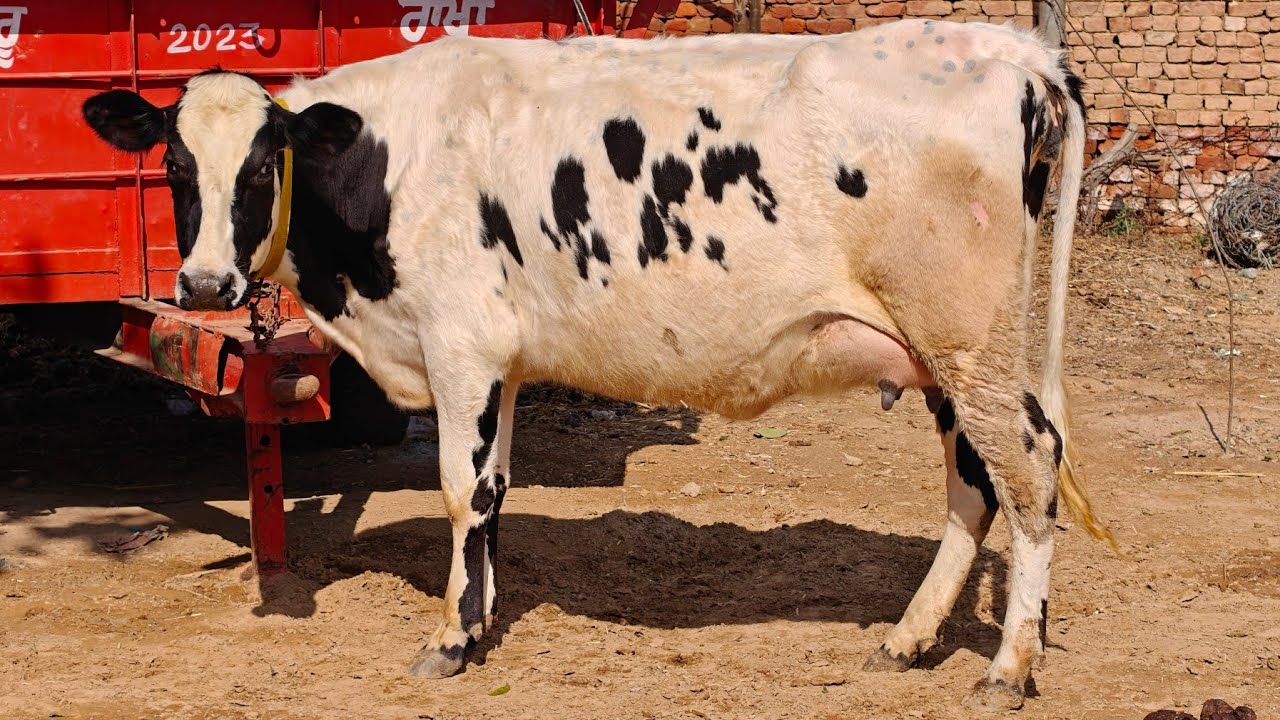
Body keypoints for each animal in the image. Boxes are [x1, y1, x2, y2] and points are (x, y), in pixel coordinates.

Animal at [83, 19, 1116, 711]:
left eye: (262, 167)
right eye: (176, 169)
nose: (204, 282)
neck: (392, 161)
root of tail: (1007, 47)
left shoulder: (458, 345)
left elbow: (459, 490)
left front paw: (450, 637)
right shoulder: (498, 359)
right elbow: (493, 491)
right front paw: (482, 615)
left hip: (970, 343)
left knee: (1028, 470)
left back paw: (1010, 666)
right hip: (946, 357)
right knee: (975, 485)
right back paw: (908, 639)